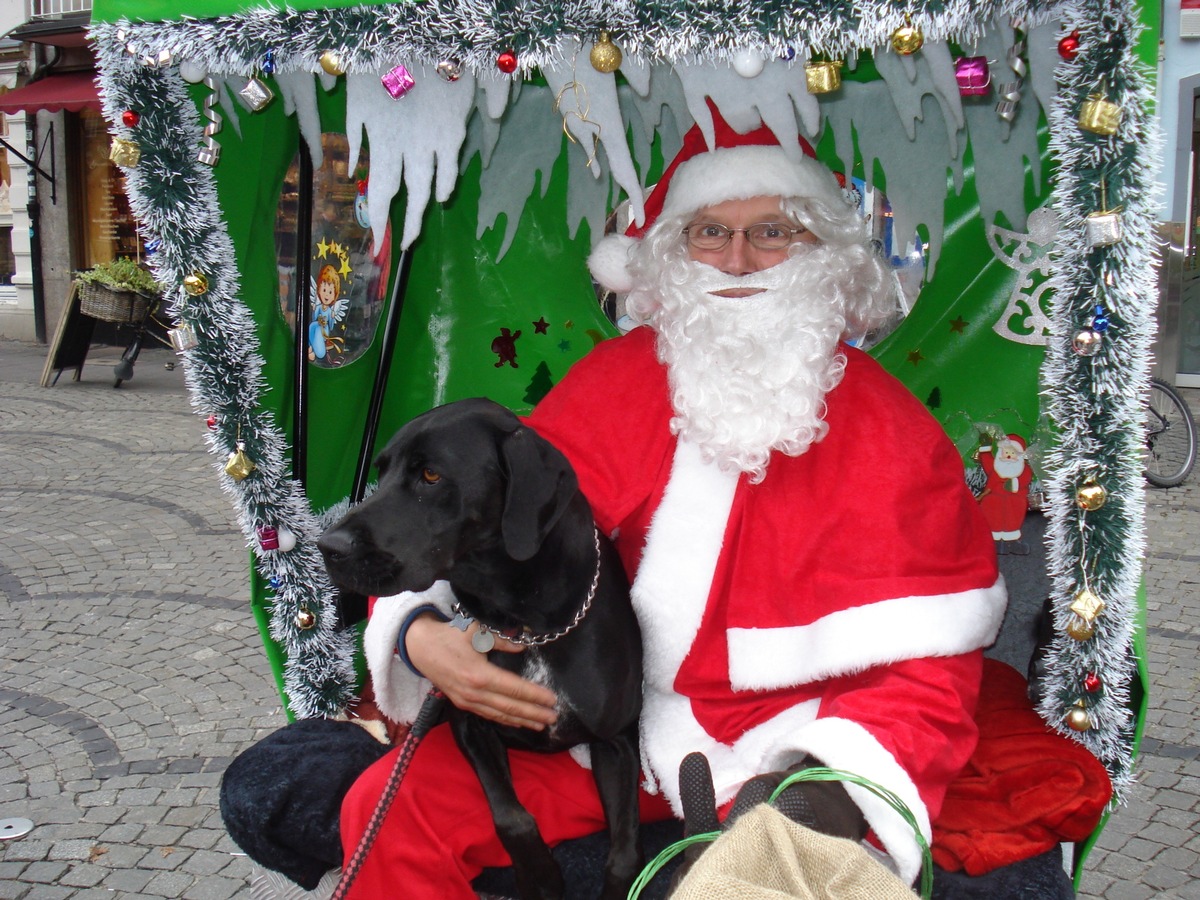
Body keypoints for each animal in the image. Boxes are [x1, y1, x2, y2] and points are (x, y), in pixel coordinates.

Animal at [314, 400, 643, 900]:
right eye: (381, 471)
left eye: (430, 475)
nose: (326, 546)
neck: (527, 626)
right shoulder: (471, 720)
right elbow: (511, 818)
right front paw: (541, 877)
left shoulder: (618, 741)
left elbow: (625, 855)